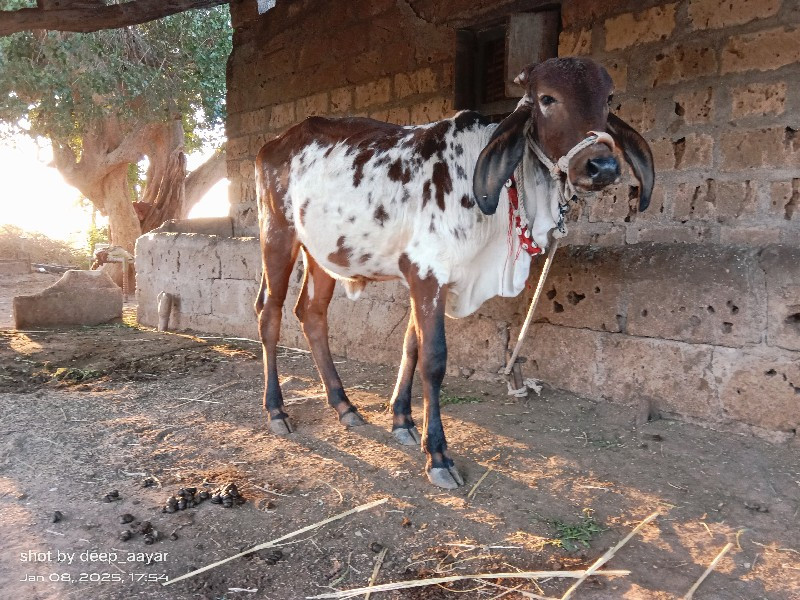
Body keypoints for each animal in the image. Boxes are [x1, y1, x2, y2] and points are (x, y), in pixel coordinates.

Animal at [253, 57, 652, 488]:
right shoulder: (427, 274)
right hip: (277, 235)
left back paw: (344, 405)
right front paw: (438, 455)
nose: (602, 166)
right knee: (269, 314)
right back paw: (276, 410)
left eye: (608, 98)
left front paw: (402, 421)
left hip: (322, 253)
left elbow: (411, 347)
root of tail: (273, 143)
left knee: (311, 315)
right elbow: (433, 359)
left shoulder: (424, 279)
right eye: (547, 98)